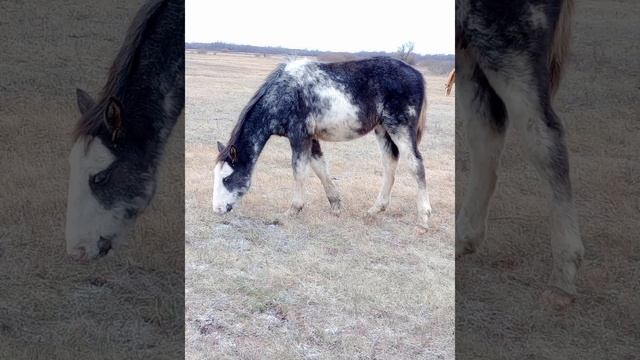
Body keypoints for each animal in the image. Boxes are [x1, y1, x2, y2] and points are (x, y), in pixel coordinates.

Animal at [212, 57, 432, 228]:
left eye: (227, 179)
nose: (217, 209)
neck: (283, 93)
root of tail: (417, 74)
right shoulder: (312, 139)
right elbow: (320, 169)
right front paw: (336, 206)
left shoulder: (299, 136)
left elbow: (299, 171)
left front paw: (293, 210)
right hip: (383, 130)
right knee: (389, 165)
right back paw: (376, 209)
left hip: (400, 128)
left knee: (415, 164)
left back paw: (423, 218)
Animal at [452, 0, 584, 306]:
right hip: (469, 47)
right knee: (485, 131)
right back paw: (464, 238)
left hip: (508, 41)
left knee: (543, 135)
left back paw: (563, 275)